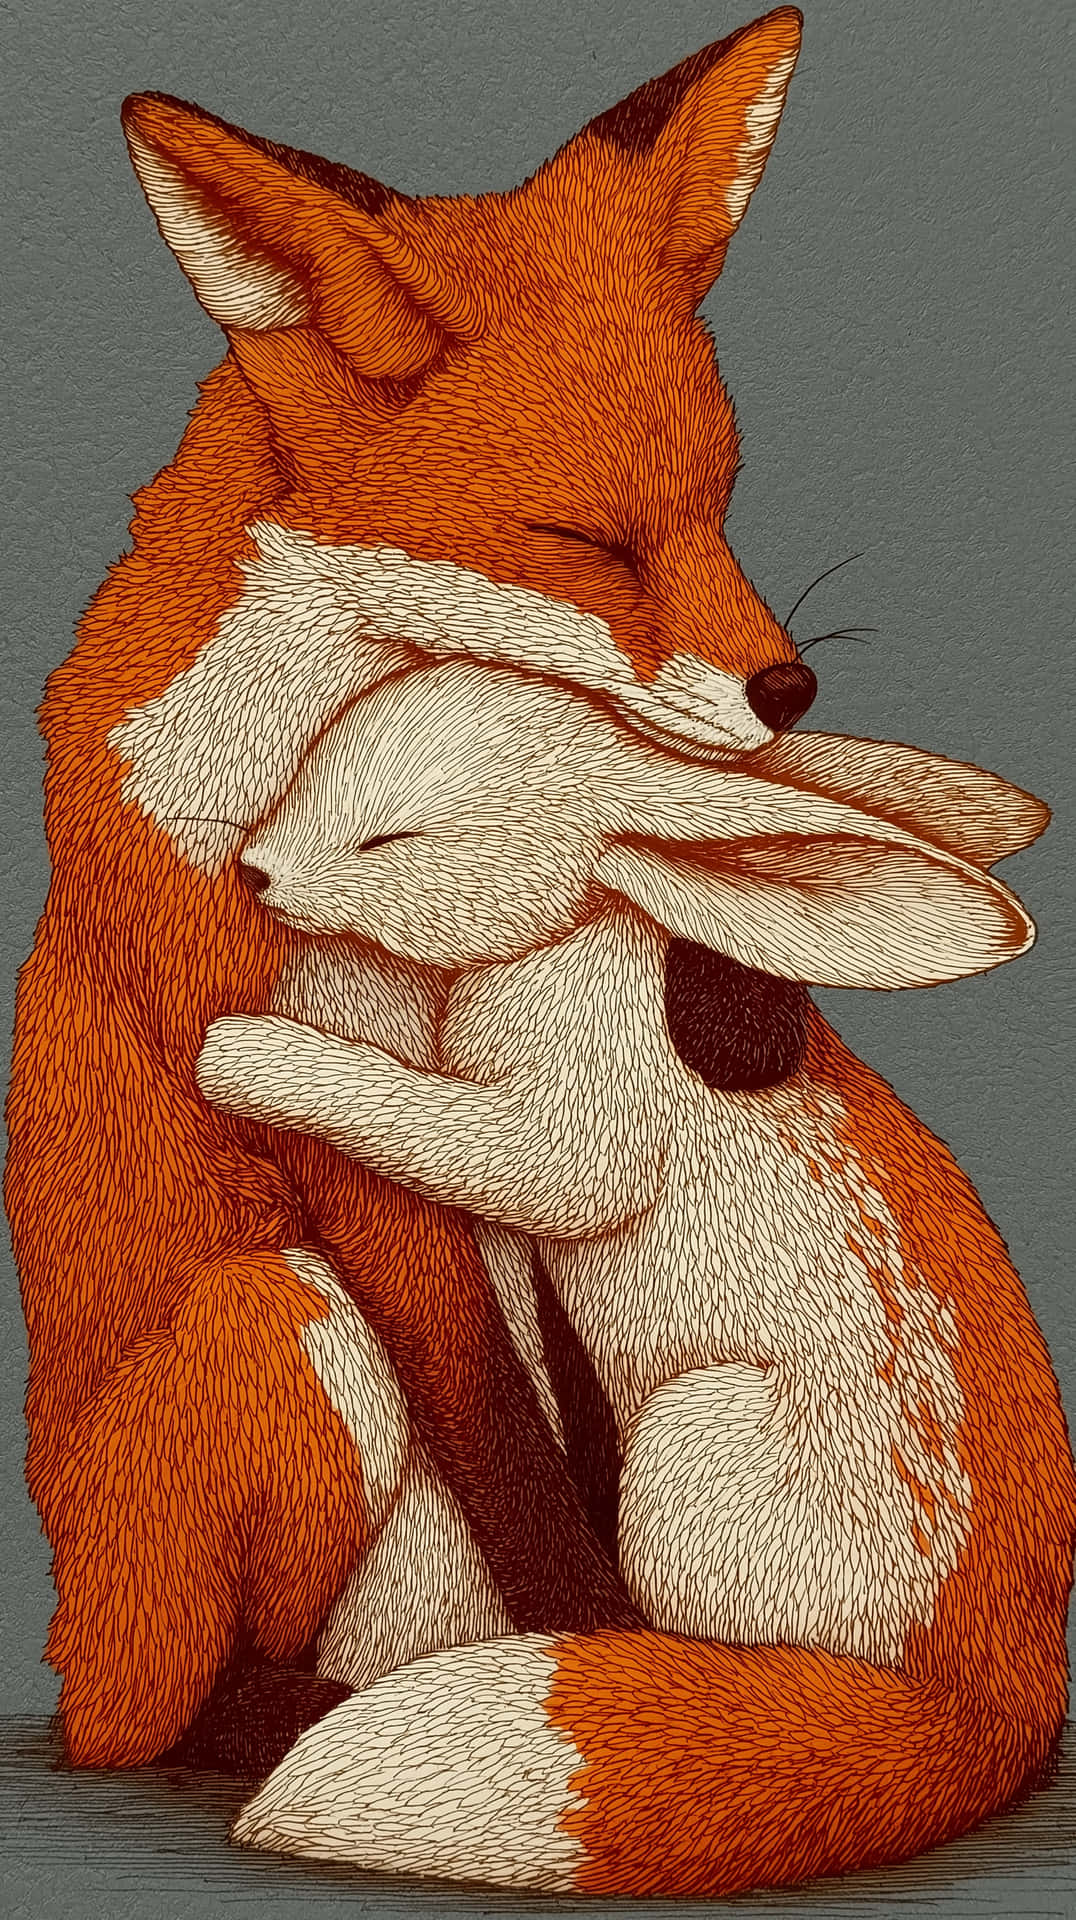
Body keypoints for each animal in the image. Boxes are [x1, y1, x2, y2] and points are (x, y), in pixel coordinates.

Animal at [190, 658, 1076, 1895]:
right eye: (314, 764)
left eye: (392, 835)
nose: (256, 871)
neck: (596, 921)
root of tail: (994, 1696)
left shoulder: (564, 1132)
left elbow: (459, 1135)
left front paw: (248, 1055)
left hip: (695, 1431)